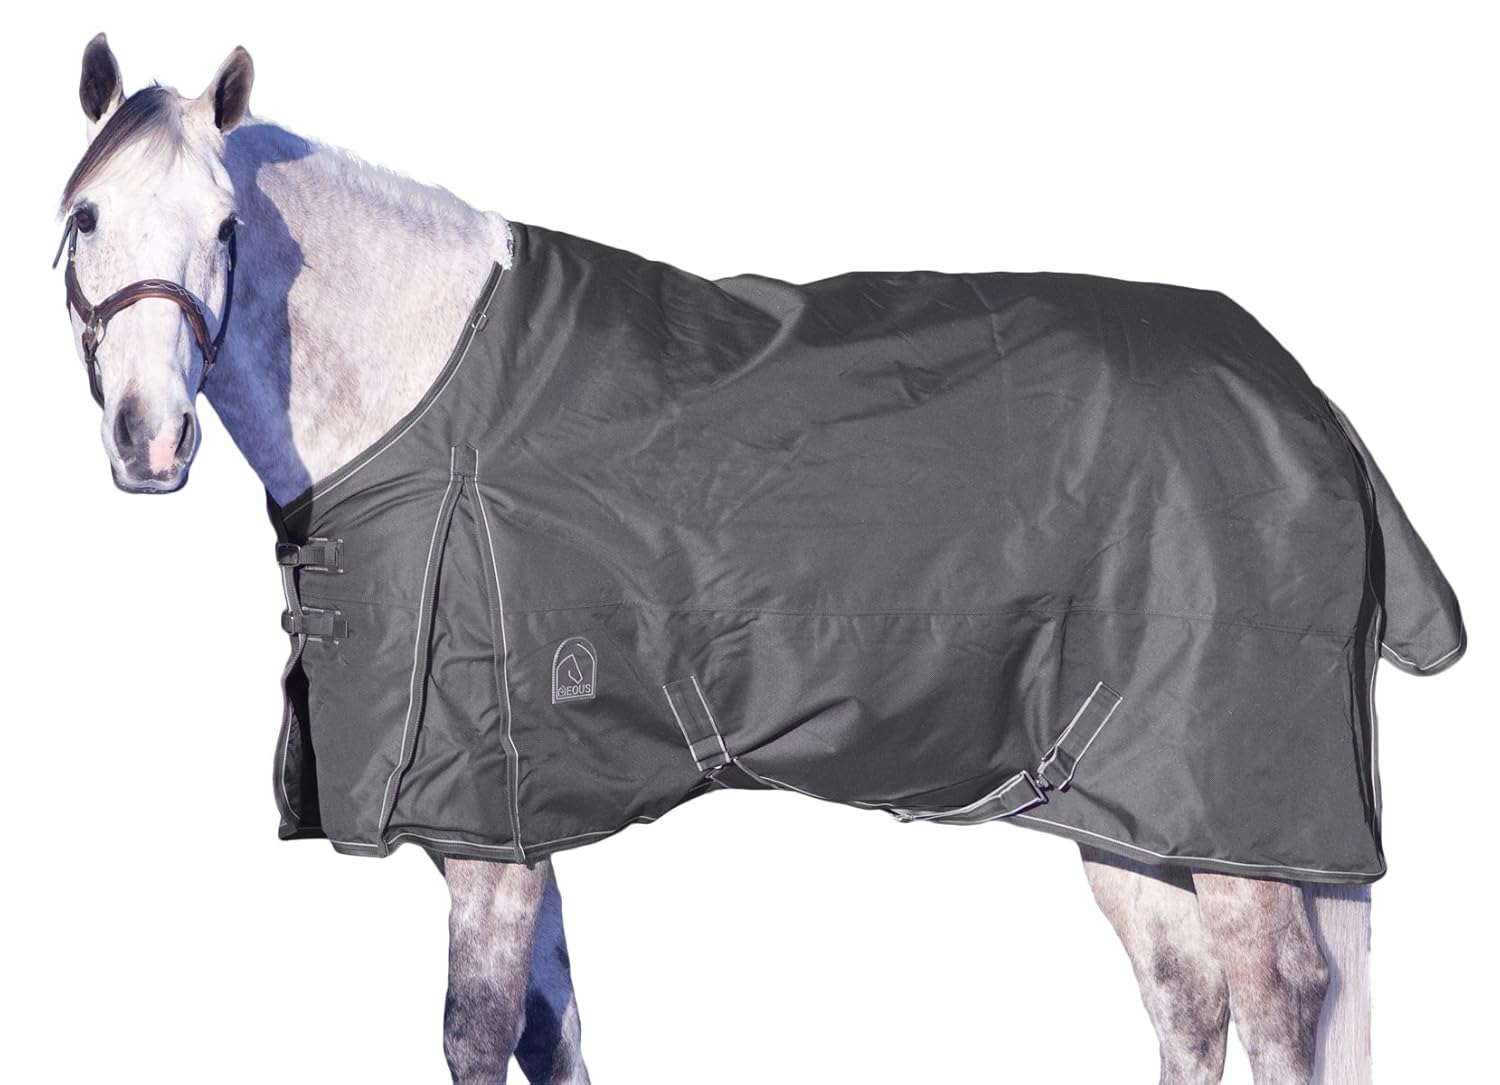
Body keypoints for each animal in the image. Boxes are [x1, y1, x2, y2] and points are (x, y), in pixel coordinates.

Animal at [56, 34, 1445, 1084]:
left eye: (225, 226)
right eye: (82, 215)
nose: (148, 439)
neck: (429, 402)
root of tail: (1303, 393)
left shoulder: (488, 827)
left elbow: (476, 1032)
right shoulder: (521, 816)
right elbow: (556, 1034)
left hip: (1236, 814)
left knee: (1277, 991)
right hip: (1126, 798)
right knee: (1187, 994)